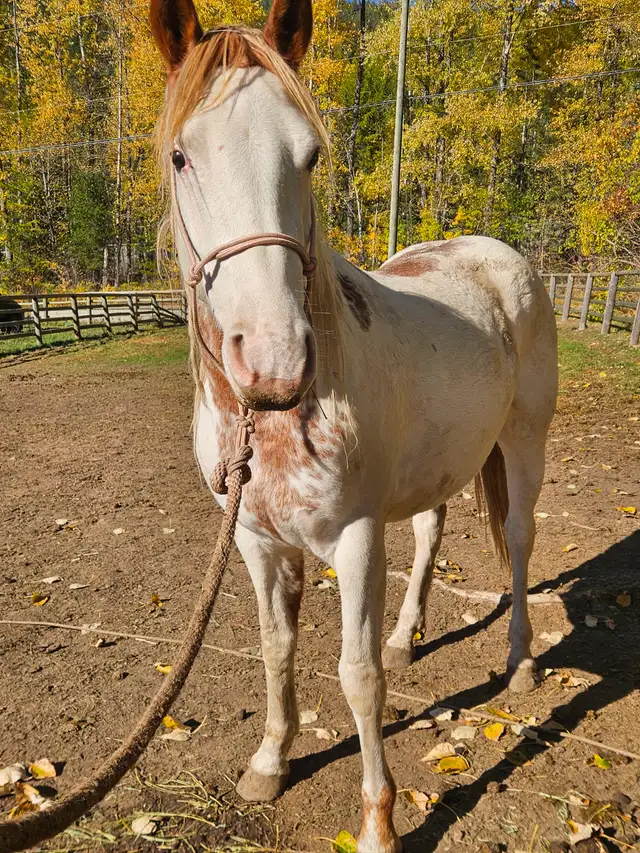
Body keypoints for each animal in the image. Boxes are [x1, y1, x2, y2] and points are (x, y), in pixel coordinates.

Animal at [150, 1, 558, 850]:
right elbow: (276, 649)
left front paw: (378, 820)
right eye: (181, 156)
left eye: (308, 155)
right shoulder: (257, 541)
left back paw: (523, 662)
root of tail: (498, 254)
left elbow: (356, 675)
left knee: (521, 540)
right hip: (444, 458)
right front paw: (270, 763)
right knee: (432, 530)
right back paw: (409, 636)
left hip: (524, 442)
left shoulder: (357, 538)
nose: (273, 361)